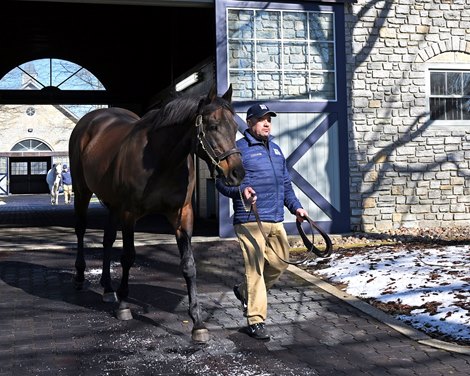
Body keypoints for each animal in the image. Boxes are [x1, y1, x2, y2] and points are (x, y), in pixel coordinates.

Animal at [70, 83, 246, 342]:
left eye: (234, 127)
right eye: (213, 126)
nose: (237, 173)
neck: (162, 159)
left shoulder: (182, 215)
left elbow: (189, 265)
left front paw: (198, 323)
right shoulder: (129, 214)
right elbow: (128, 257)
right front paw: (124, 306)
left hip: (112, 204)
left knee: (107, 239)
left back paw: (108, 289)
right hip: (82, 191)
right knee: (81, 230)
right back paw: (81, 277)